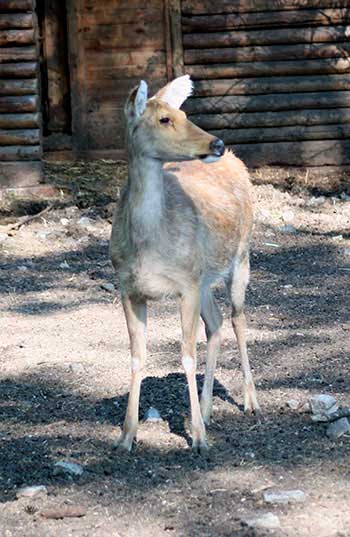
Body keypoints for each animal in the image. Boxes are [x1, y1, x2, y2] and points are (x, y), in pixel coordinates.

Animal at [110, 74, 262, 452]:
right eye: (165, 119)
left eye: (183, 114)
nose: (217, 143)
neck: (149, 246)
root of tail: (237, 161)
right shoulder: (128, 287)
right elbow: (137, 355)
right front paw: (126, 436)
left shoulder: (186, 285)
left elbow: (187, 354)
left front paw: (199, 439)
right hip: (204, 277)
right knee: (216, 323)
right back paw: (206, 412)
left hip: (241, 255)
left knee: (238, 318)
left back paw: (250, 401)